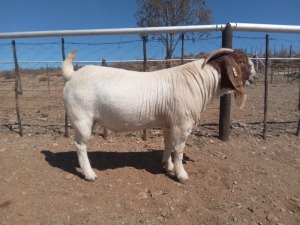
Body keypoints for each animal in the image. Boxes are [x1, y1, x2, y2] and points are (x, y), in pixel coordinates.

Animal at [62, 48, 254, 184]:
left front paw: (167, 166)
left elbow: (168, 145)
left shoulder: (169, 124)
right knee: (80, 145)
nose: (254, 75)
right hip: (82, 118)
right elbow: (179, 150)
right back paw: (89, 174)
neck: (199, 81)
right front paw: (181, 175)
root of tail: (73, 74)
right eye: (241, 61)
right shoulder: (181, 124)